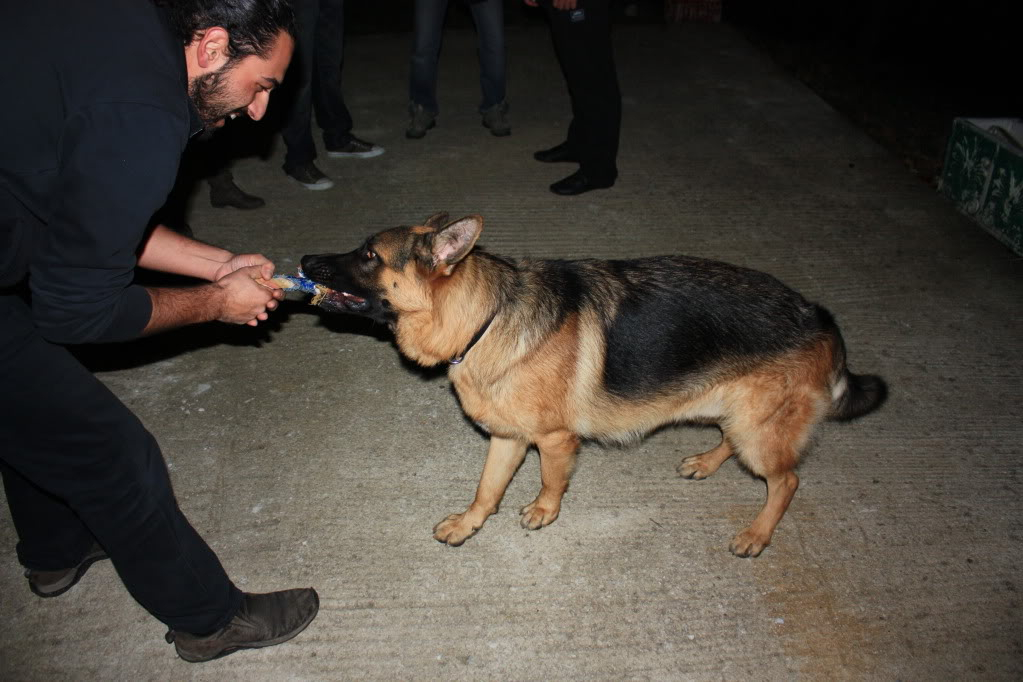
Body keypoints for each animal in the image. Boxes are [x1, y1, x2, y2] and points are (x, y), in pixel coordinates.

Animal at [298, 215, 887, 556]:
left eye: (369, 255)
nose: (303, 259)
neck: (486, 316)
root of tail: (820, 316)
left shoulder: (554, 441)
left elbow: (549, 481)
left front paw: (543, 511)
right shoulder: (507, 438)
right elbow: (486, 489)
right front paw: (469, 524)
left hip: (760, 432)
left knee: (786, 481)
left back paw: (758, 533)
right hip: (735, 411)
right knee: (733, 441)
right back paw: (705, 462)